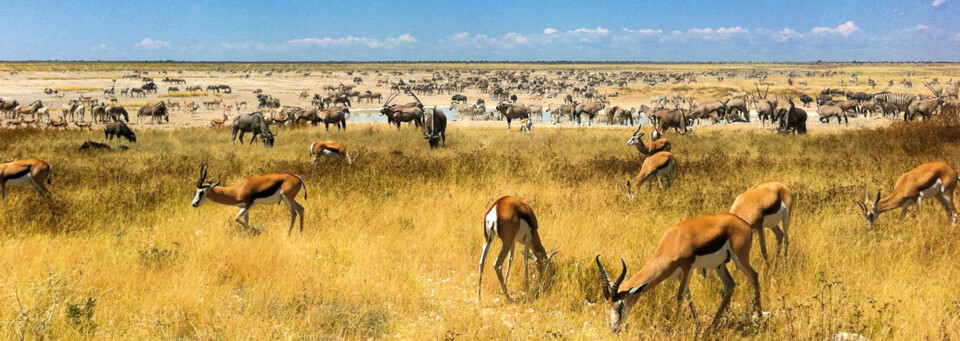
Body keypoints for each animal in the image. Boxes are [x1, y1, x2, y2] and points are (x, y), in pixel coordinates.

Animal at [596, 214, 760, 330]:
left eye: (621, 305)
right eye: (608, 305)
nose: (614, 329)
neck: (674, 240)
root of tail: (745, 223)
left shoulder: (687, 269)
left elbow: (680, 297)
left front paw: (675, 326)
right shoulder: (679, 276)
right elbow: (688, 296)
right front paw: (697, 325)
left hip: (740, 257)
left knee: (754, 276)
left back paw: (758, 317)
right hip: (719, 265)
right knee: (730, 285)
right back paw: (710, 327)